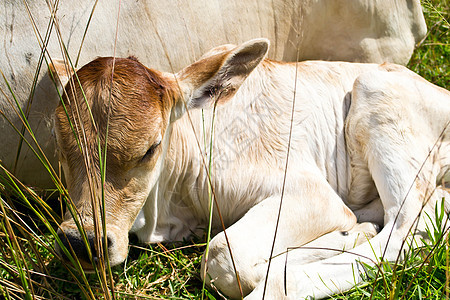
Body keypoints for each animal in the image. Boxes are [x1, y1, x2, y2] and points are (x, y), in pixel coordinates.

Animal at [53, 39, 450, 298]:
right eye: (60, 142)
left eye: (151, 148)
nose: (82, 241)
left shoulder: (312, 193)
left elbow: (225, 258)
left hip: (376, 94)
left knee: (404, 234)